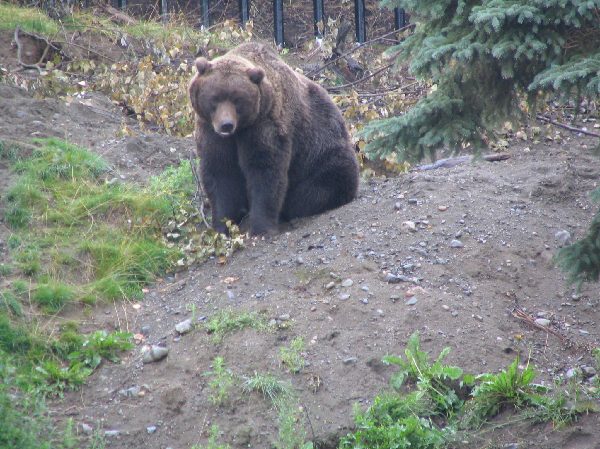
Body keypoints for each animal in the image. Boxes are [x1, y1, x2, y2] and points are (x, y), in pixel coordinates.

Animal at [189, 43, 356, 234]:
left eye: (237, 99)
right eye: (215, 98)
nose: (226, 125)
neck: (240, 130)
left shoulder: (265, 124)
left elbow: (265, 169)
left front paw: (261, 227)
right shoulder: (211, 131)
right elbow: (221, 172)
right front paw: (222, 226)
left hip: (322, 153)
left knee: (321, 186)